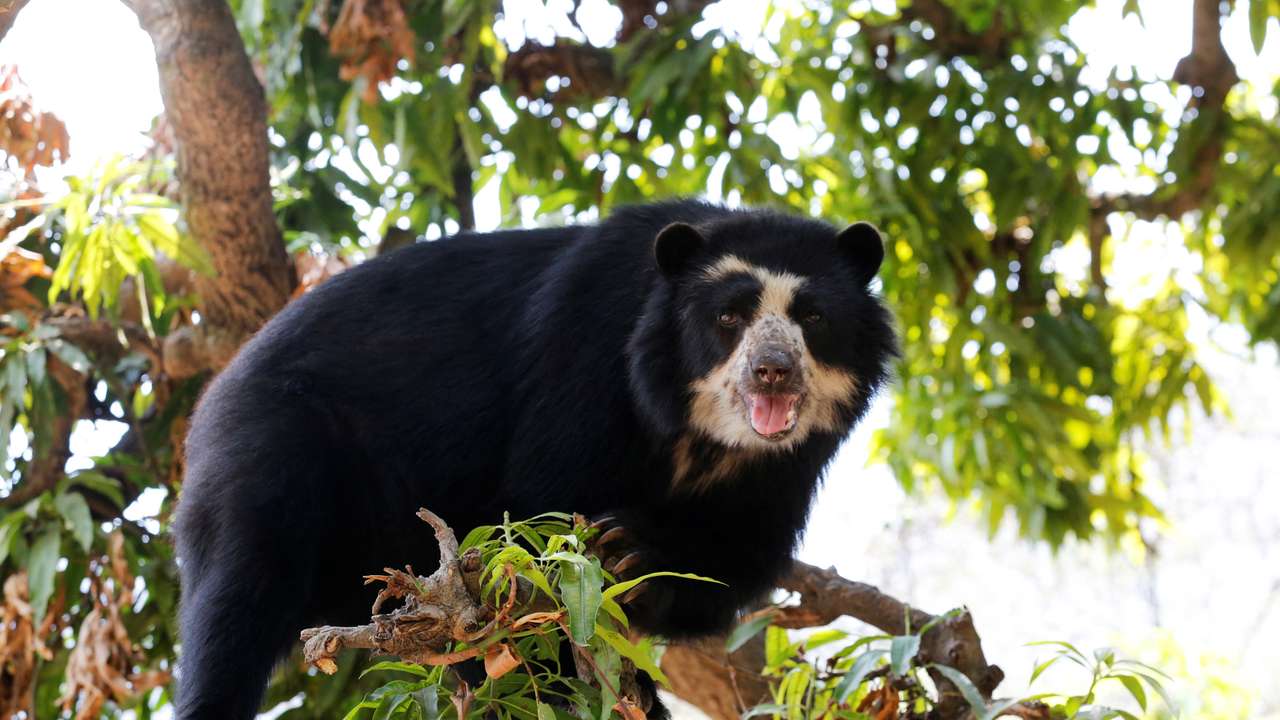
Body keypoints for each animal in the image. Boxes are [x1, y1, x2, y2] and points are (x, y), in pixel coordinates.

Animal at [173, 199, 896, 719]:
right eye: (729, 317)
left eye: (813, 317)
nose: (773, 372)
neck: (701, 432)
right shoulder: (585, 360)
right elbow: (539, 519)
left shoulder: (788, 465)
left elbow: (734, 558)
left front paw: (633, 554)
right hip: (277, 444)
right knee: (244, 594)